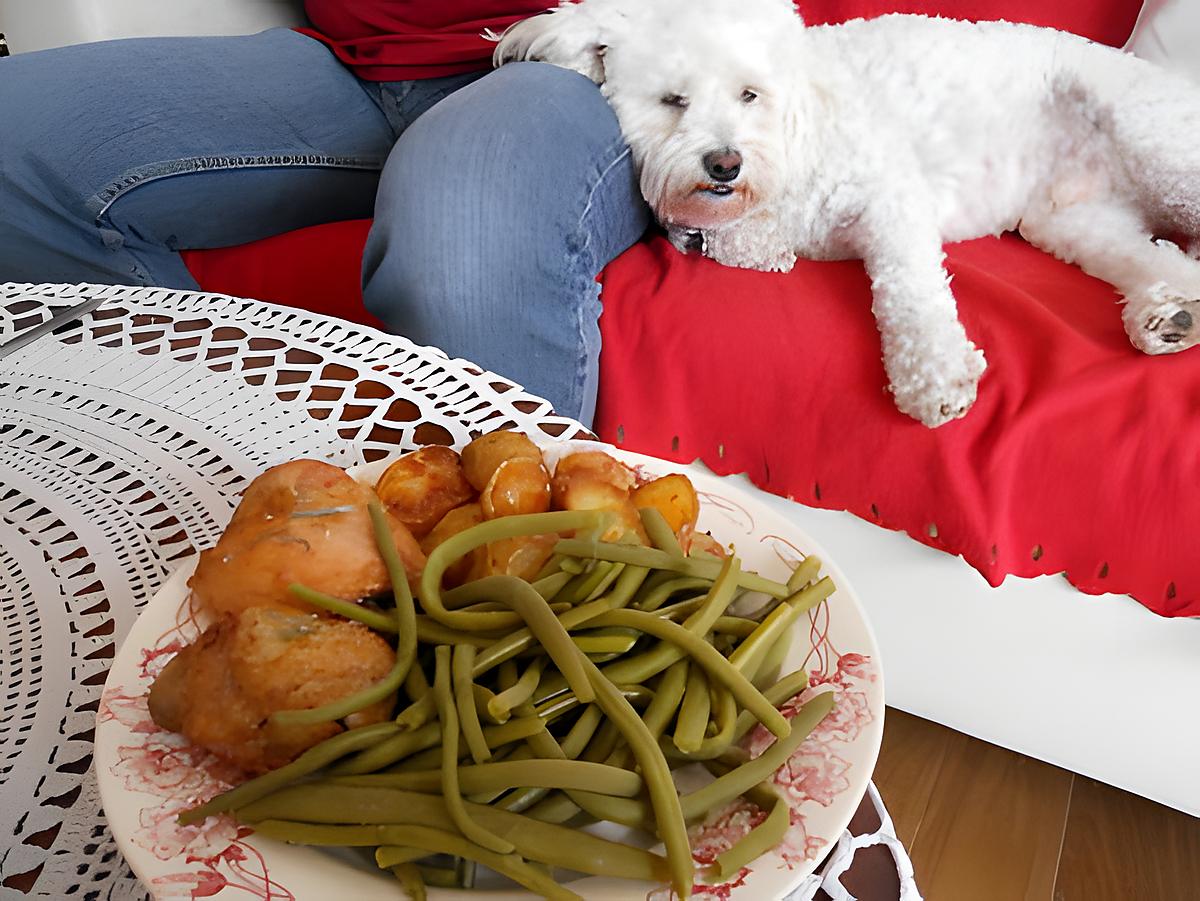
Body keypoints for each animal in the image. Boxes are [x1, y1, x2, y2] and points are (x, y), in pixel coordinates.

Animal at [494, 0, 1200, 427]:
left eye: (750, 94)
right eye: (673, 101)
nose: (725, 164)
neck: (794, 135)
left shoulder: (892, 199)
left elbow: (907, 292)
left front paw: (935, 378)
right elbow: (734, 238)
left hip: (1151, 138)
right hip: (1071, 222)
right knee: (1162, 261)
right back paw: (1167, 316)